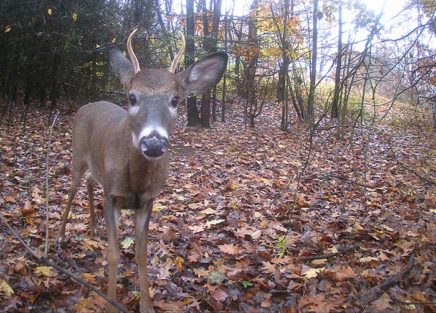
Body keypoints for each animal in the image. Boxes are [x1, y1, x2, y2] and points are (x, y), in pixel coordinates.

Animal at [56, 28, 228, 310]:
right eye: (132, 97)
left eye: (175, 100)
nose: (154, 143)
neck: (134, 181)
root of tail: (85, 106)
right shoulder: (112, 196)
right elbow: (114, 253)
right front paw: (110, 304)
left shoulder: (148, 201)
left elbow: (141, 253)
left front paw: (146, 305)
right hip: (77, 156)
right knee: (71, 191)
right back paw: (60, 236)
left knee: (91, 182)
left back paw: (93, 228)